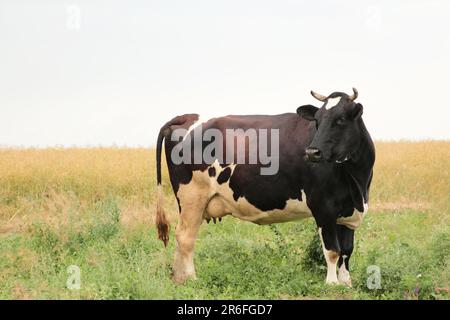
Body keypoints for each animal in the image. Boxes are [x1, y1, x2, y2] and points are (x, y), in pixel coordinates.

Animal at [156, 88, 374, 284]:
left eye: (340, 120)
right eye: (317, 121)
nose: (312, 152)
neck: (356, 182)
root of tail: (186, 116)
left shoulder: (349, 210)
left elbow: (347, 250)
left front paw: (346, 283)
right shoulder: (323, 207)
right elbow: (332, 250)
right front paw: (332, 284)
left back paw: (178, 279)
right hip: (192, 197)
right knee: (185, 237)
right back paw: (191, 279)